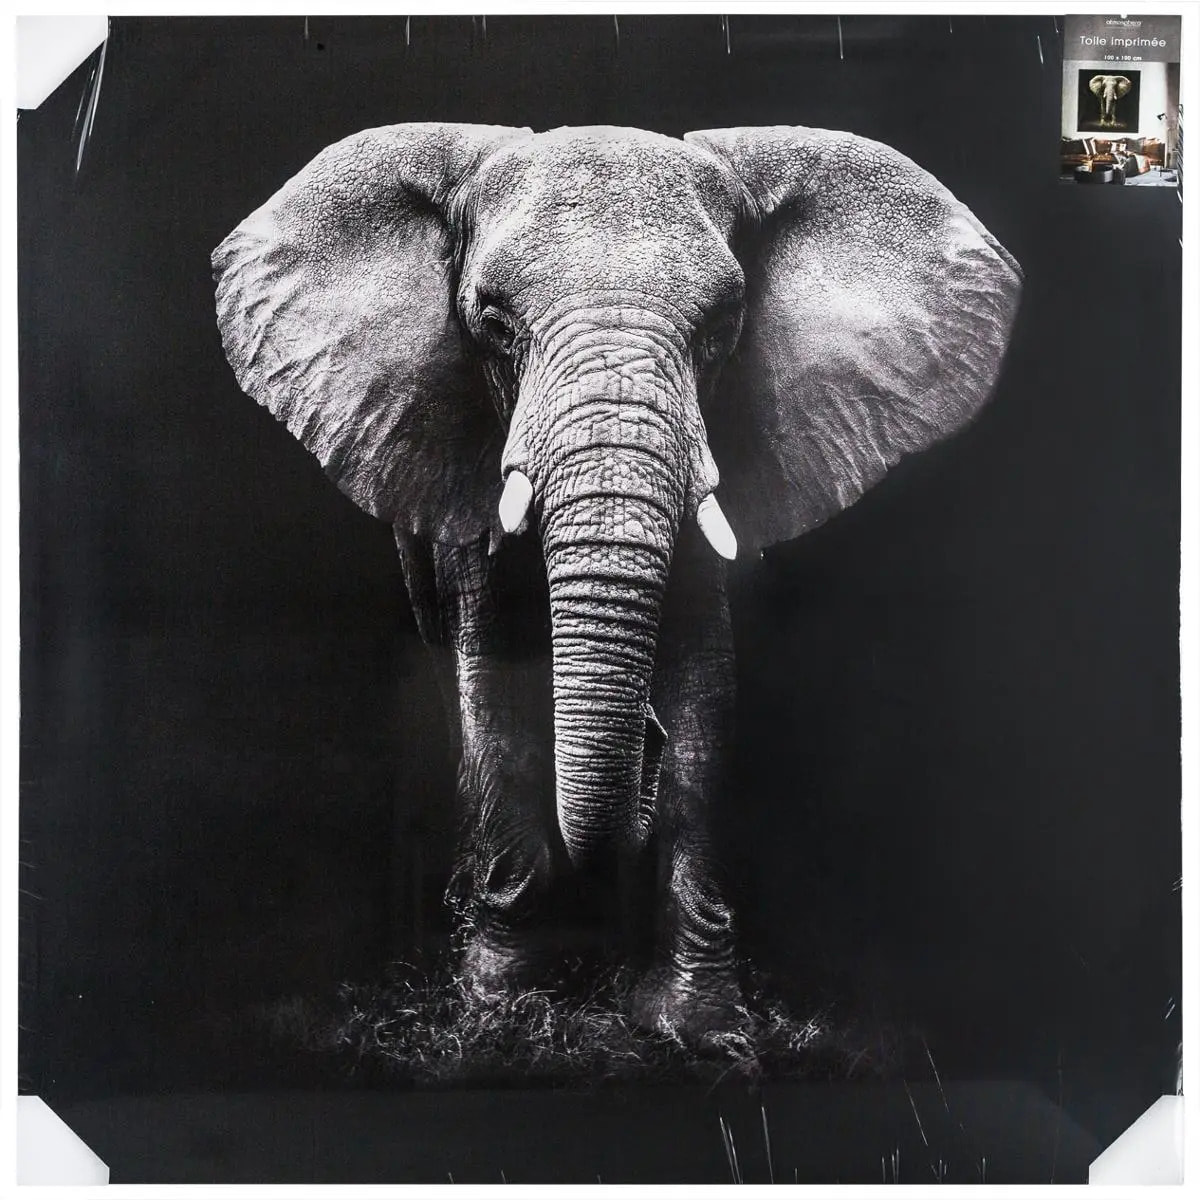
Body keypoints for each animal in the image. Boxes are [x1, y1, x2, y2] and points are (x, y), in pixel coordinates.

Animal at [212, 123, 1022, 1042]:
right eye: (494, 324)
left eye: (722, 328)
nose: (646, 740)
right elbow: (494, 685)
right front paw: (503, 1011)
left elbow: (705, 693)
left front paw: (699, 1028)